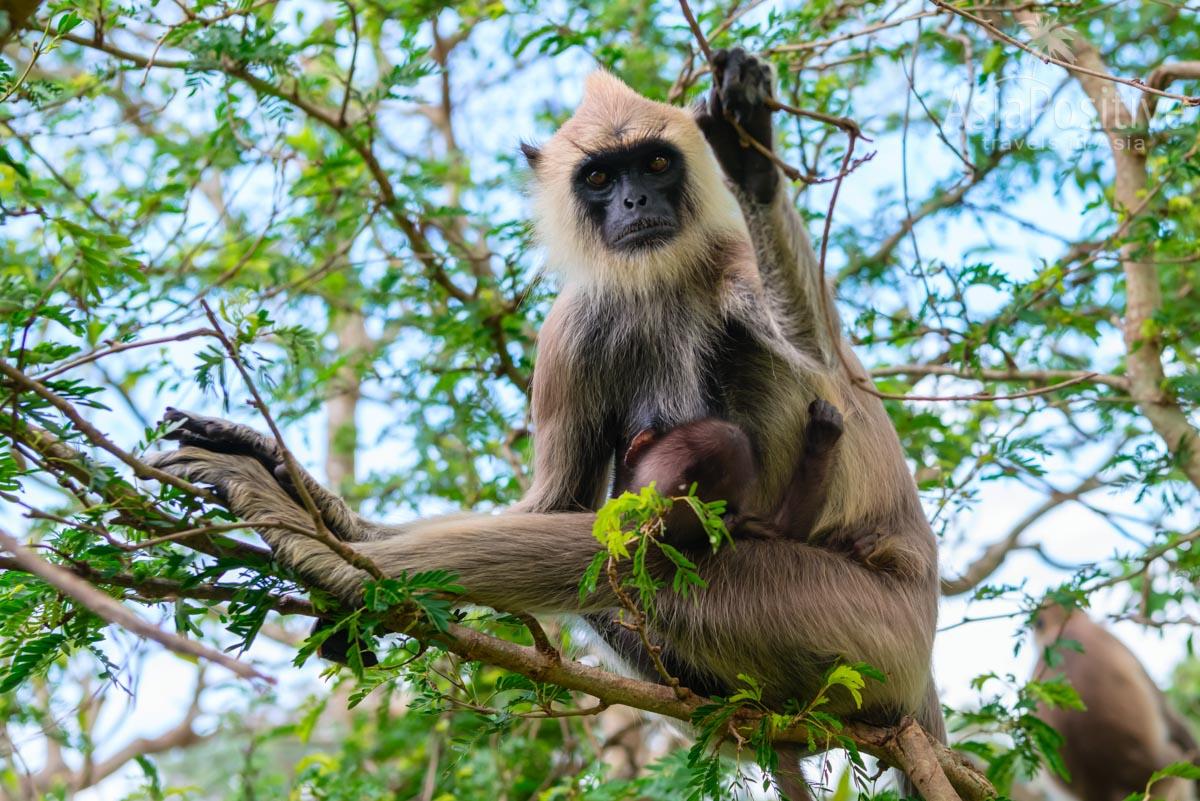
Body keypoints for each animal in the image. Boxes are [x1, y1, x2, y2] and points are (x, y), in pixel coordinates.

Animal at [152, 48, 945, 796]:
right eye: (599, 178)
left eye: (656, 163)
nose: (633, 199)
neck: (658, 282)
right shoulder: (570, 329)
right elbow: (551, 501)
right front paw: (291, 478)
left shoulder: (733, 260)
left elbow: (818, 353)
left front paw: (751, 158)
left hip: (859, 623)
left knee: (632, 548)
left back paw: (314, 554)